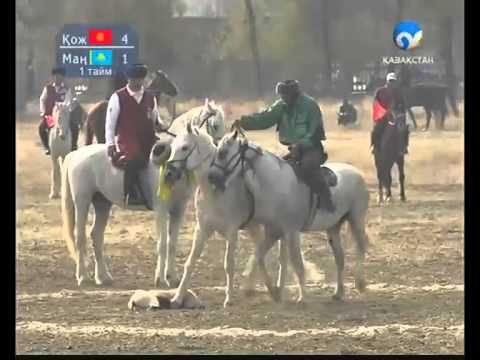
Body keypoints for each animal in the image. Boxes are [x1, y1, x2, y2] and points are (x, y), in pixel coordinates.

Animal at [60, 97, 227, 286]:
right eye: (215, 125)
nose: (219, 152)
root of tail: (76, 154)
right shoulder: (161, 209)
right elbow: (162, 244)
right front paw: (160, 279)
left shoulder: (178, 210)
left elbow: (172, 244)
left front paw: (173, 277)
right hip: (82, 202)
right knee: (80, 237)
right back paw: (82, 276)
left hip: (102, 204)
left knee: (96, 236)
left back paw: (103, 277)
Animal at [206, 130, 372, 304]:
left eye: (223, 153)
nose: (211, 177)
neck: (275, 184)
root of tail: (357, 173)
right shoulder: (274, 232)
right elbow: (258, 256)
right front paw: (266, 291)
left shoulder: (291, 232)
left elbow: (296, 262)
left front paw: (302, 297)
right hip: (333, 227)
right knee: (339, 258)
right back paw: (338, 292)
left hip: (356, 219)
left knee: (361, 246)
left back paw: (360, 283)